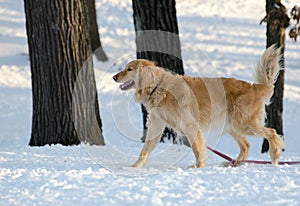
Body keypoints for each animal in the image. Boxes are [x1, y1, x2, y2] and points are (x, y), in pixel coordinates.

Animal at [112, 45, 284, 167]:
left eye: (129, 69)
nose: (114, 77)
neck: (159, 87)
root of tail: (256, 87)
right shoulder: (157, 125)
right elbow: (145, 149)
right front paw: (134, 167)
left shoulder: (190, 125)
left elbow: (197, 148)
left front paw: (198, 166)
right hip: (232, 126)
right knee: (246, 145)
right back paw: (234, 164)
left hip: (243, 124)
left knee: (272, 132)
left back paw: (274, 155)